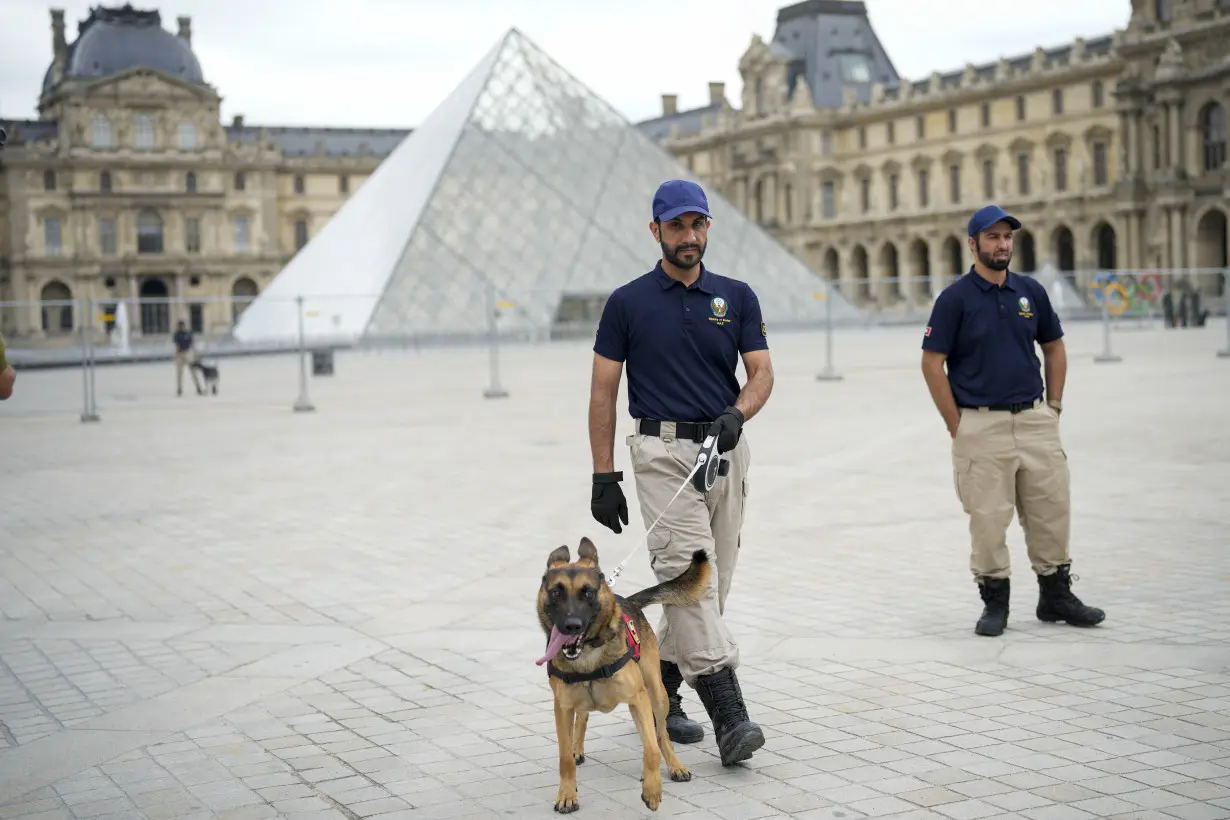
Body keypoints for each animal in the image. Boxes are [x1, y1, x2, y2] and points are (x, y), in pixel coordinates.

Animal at [533, 538, 708, 816]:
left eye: (588, 592)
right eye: (556, 592)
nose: (571, 625)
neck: (588, 658)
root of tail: (629, 602)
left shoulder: (639, 700)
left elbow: (651, 748)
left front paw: (652, 790)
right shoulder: (562, 707)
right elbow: (564, 757)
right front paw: (567, 794)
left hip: (657, 695)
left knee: (661, 735)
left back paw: (674, 766)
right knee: (583, 717)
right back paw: (577, 748)